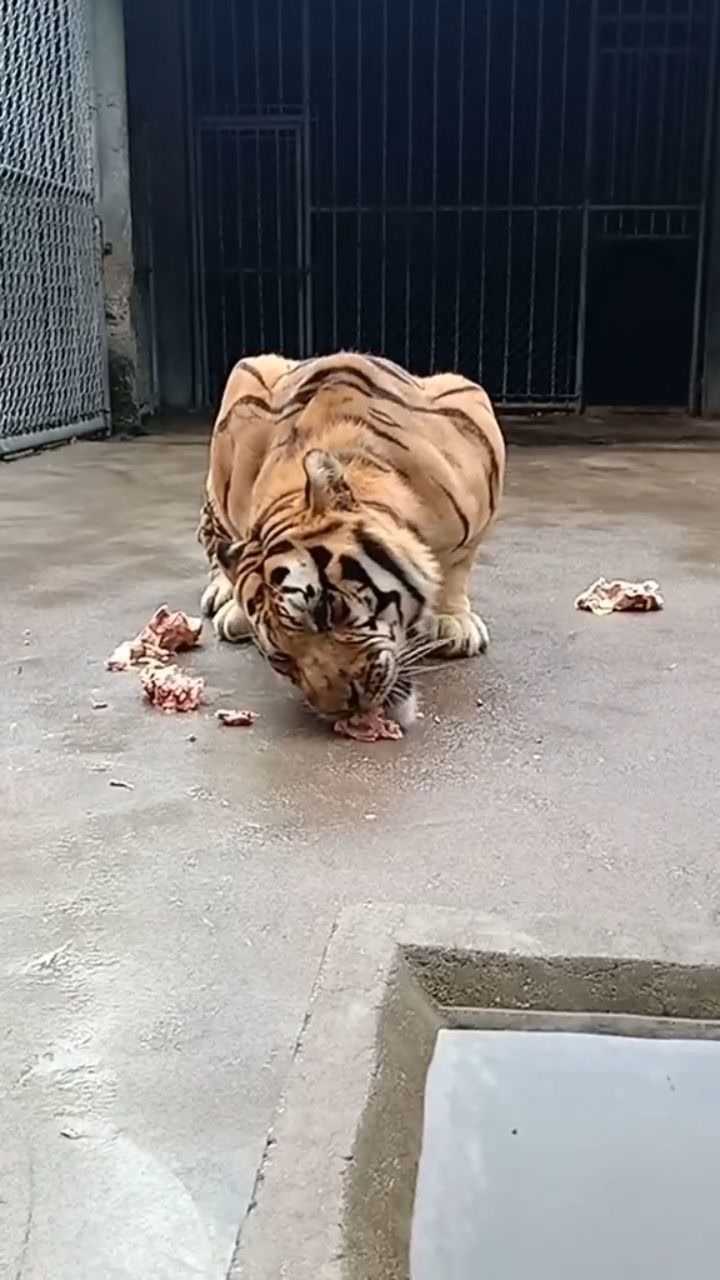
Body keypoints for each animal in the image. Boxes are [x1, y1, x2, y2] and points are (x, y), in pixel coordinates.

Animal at [197, 351, 505, 727]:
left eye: (327, 611)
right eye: (281, 657)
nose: (343, 707)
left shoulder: (473, 407)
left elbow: (459, 561)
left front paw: (452, 621)